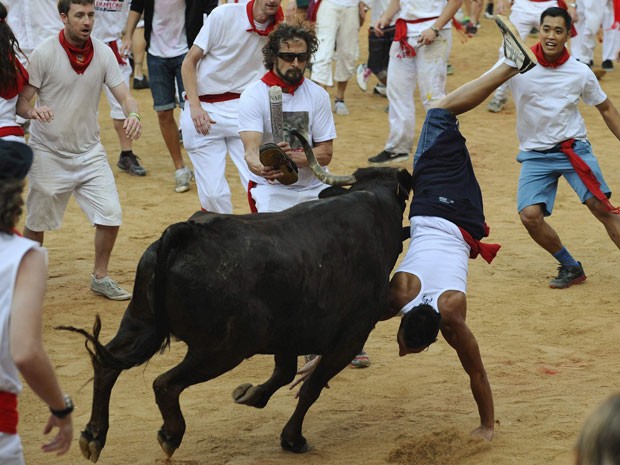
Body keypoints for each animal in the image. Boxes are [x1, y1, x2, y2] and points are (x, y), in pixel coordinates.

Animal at [61, 138, 412, 460]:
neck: (373, 208)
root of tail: (186, 233)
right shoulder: (350, 338)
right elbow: (310, 388)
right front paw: (292, 438)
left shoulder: (290, 333)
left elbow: (285, 373)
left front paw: (250, 395)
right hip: (223, 348)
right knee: (165, 383)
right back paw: (170, 435)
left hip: (139, 321)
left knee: (106, 364)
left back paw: (93, 436)